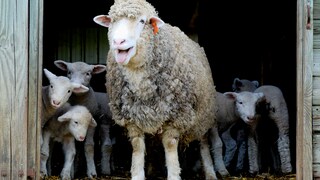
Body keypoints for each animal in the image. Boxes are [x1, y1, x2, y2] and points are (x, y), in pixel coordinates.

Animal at [92, 0, 228, 179]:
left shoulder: (176, 117)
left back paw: (210, 172)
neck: (141, 84)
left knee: (203, 143)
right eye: (112, 21)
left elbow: (170, 146)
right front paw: (138, 175)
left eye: (142, 21)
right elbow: (137, 147)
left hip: (204, 114)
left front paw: (173, 175)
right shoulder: (132, 119)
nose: (118, 42)